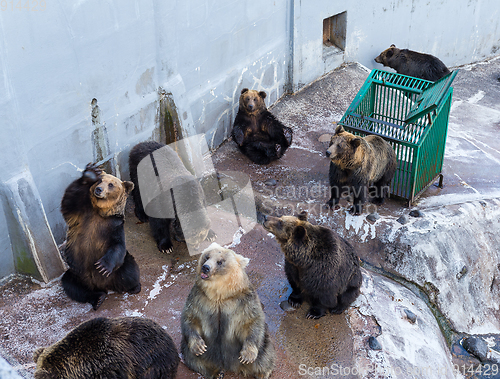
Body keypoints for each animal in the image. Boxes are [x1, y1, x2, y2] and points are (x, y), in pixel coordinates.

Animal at [62, 165, 143, 310]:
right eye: (99, 181)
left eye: (111, 184)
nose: (98, 189)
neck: (99, 212)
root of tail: (103, 285)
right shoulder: (81, 215)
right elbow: (69, 200)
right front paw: (90, 173)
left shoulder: (114, 226)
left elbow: (117, 245)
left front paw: (102, 266)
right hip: (78, 274)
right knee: (72, 286)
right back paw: (98, 298)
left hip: (117, 270)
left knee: (130, 272)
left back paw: (135, 287)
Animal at [181, 243, 276, 379]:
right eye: (206, 257)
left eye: (220, 261)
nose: (205, 268)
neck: (220, 294)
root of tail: (229, 365)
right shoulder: (199, 297)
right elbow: (190, 317)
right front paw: (199, 346)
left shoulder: (242, 300)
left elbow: (253, 320)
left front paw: (247, 356)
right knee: (192, 357)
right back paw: (216, 372)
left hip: (259, 346)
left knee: (265, 354)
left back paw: (262, 373)